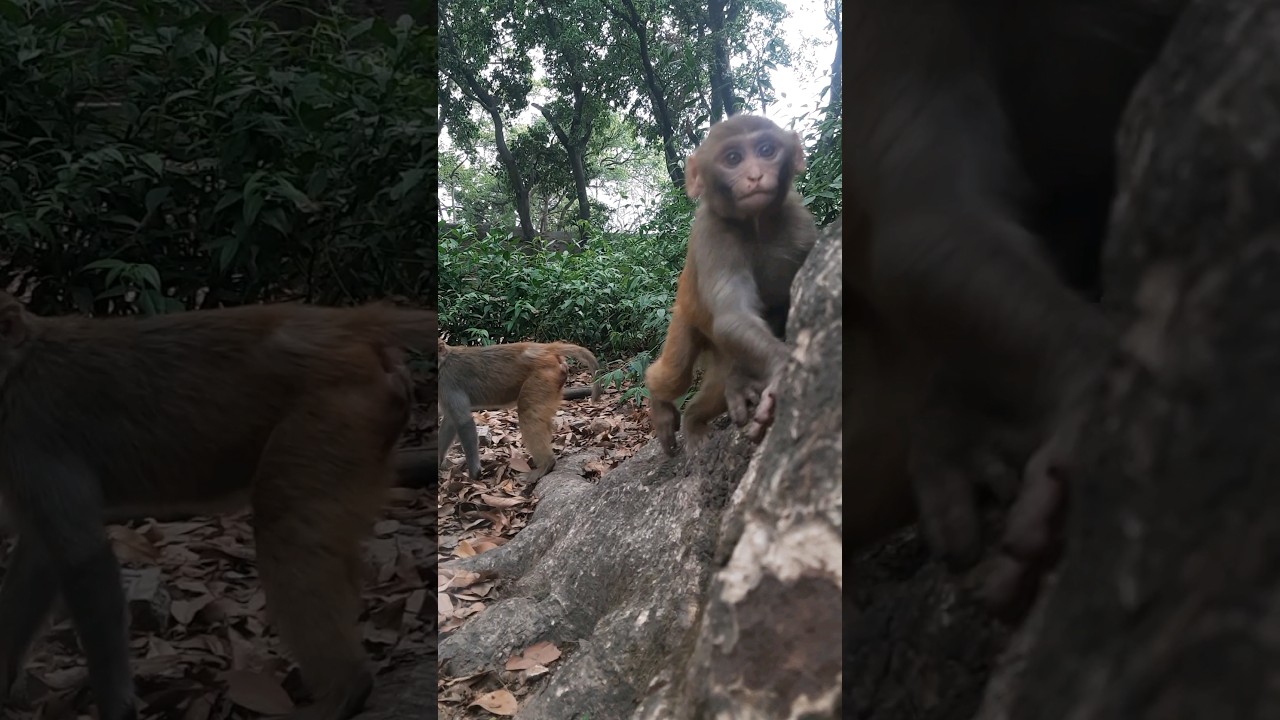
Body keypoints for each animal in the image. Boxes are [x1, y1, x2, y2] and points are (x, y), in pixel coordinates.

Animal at [0, 293, 437, 720]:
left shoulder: (29, 437)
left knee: (286, 528)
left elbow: (85, 563)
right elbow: (41, 558)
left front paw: (116, 708)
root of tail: (340, 324)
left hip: (332, 415)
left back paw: (347, 689)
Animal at [438, 339, 600, 483]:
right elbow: (450, 422)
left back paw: (546, 464)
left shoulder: (447, 382)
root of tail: (545, 348)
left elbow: (463, 422)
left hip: (542, 377)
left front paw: (474, 474)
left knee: (528, 413)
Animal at [645, 114, 818, 456]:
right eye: (733, 158)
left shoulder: (800, 224)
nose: (755, 176)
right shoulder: (714, 233)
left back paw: (695, 418)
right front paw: (782, 370)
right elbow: (731, 316)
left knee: (718, 386)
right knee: (674, 375)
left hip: (726, 353)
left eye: (767, 151)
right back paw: (660, 403)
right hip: (684, 320)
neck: (758, 224)